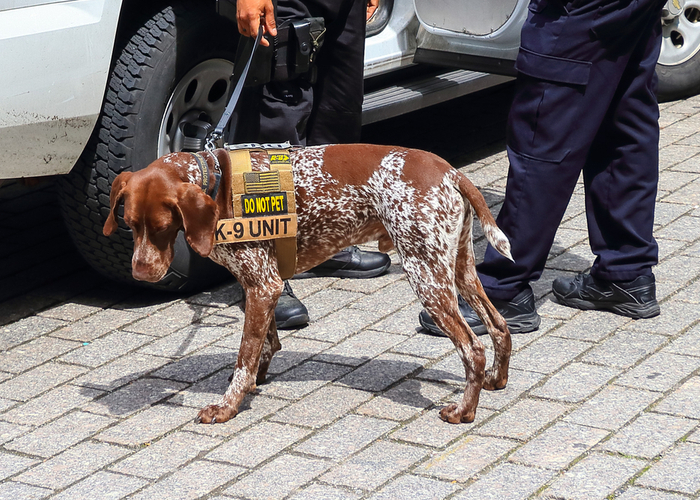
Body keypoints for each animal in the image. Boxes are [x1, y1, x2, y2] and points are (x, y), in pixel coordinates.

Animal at [106, 144, 516, 422]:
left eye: (161, 227)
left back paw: (464, 410)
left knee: (472, 348)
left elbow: (245, 356)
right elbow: (265, 344)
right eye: (129, 223)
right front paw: (256, 380)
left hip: (426, 276)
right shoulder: (262, 286)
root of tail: (450, 172)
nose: (140, 272)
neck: (216, 184)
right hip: (460, 270)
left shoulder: (262, 284)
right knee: (499, 326)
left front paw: (228, 405)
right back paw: (496, 379)